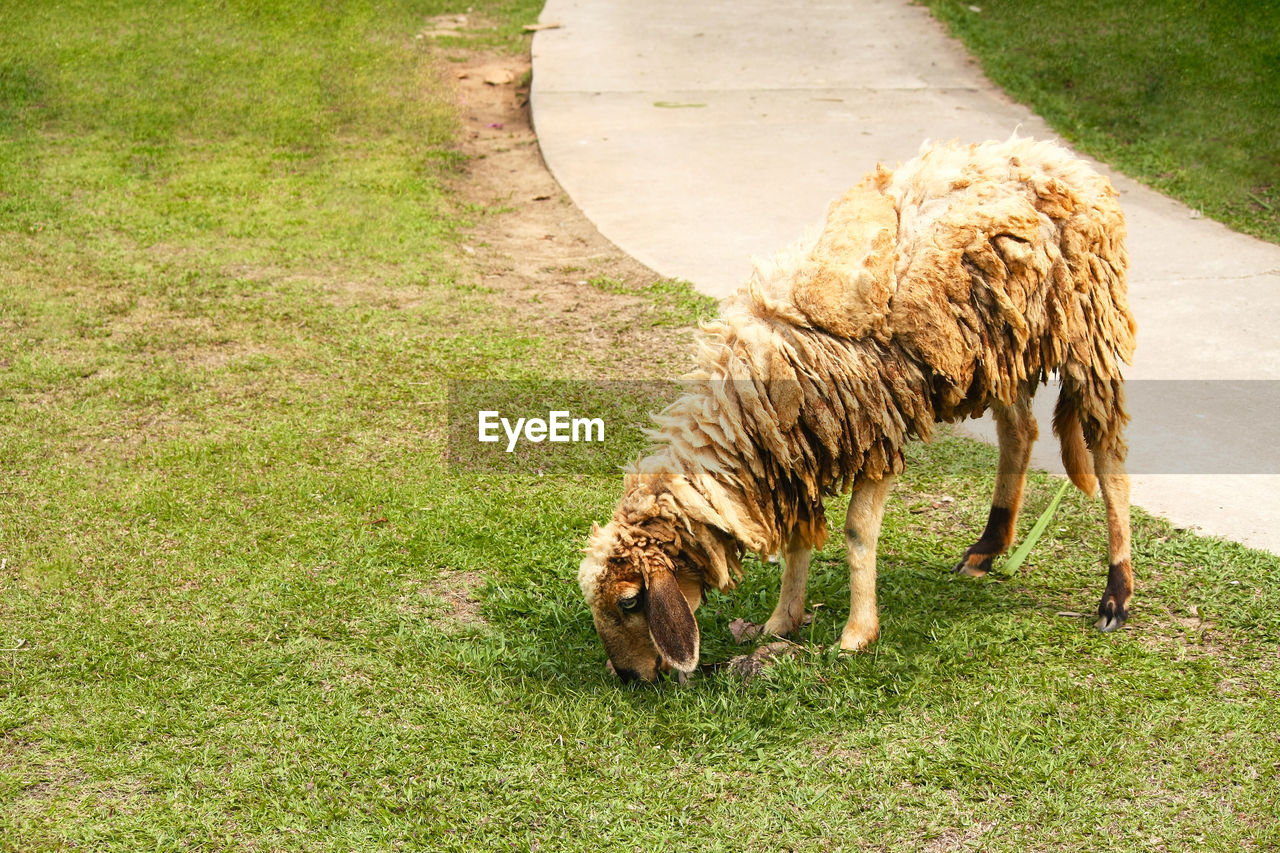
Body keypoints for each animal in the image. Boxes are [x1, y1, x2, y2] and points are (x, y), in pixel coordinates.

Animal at [576, 139, 1136, 686]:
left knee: (1108, 455)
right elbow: (798, 540)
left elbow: (858, 532)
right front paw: (782, 621)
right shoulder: (795, 456)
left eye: (630, 601)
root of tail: (1055, 155)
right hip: (1001, 345)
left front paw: (856, 634)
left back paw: (1116, 593)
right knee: (1020, 432)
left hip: (1090, 324)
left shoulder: (874, 430)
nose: (627, 676)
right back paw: (988, 546)